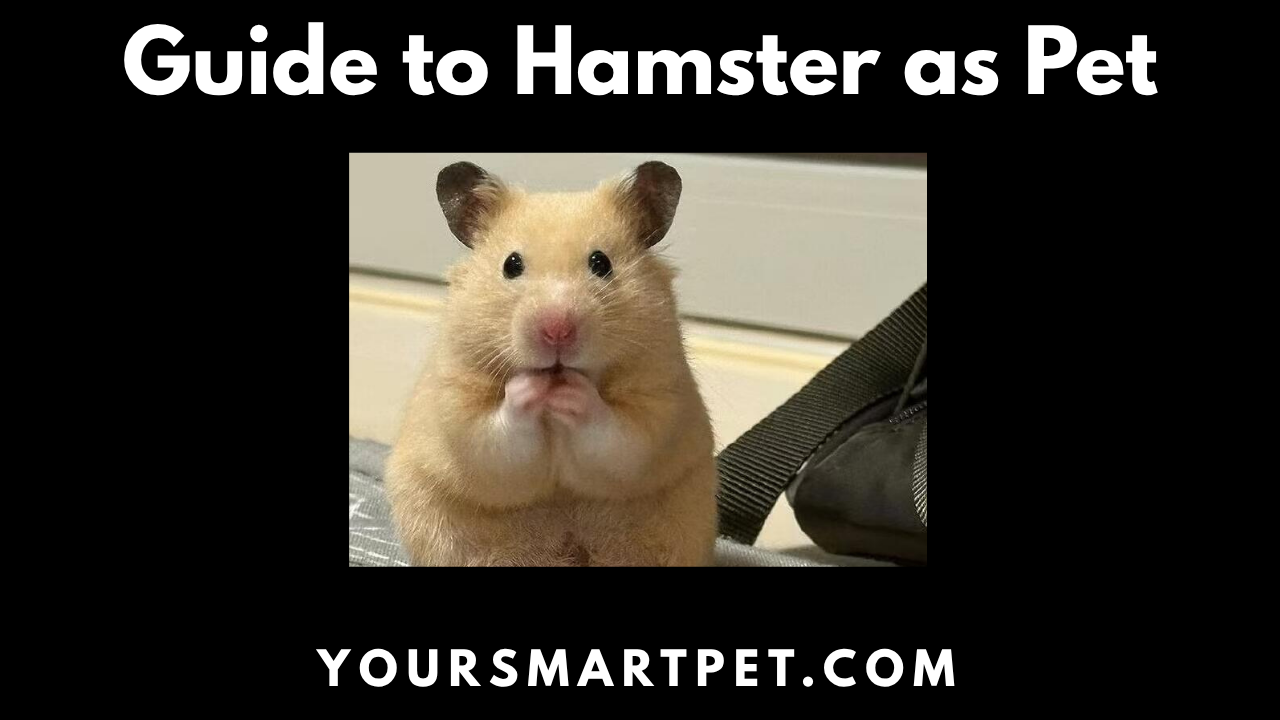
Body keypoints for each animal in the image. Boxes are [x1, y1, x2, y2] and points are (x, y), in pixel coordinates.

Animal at [385, 160, 719, 566]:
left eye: (601, 263)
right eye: (511, 264)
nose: (556, 329)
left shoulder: (656, 403)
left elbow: (616, 435)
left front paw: (571, 392)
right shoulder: (459, 403)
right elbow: (496, 432)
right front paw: (531, 387)